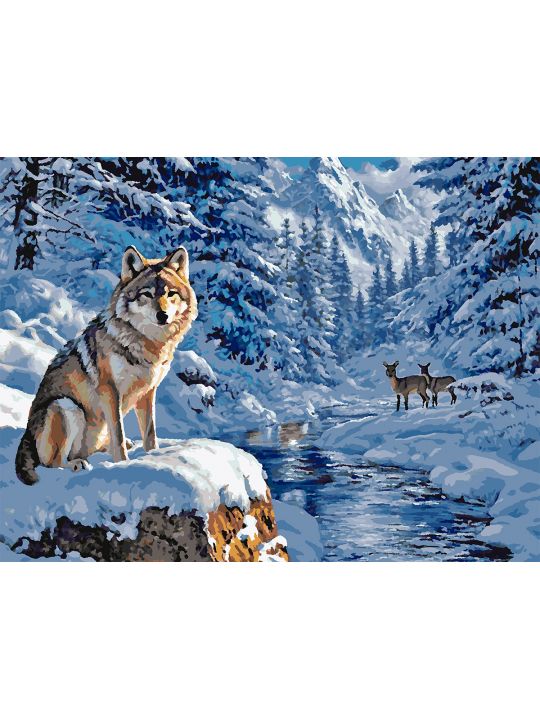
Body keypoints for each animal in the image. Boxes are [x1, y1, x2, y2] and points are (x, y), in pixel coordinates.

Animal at [15, 245, 198, 485]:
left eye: (170, 294)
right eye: (146, 294)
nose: (163, 315)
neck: (146, 344)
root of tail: (25, 436)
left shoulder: (148, 392)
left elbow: (149, 434)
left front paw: (154, 457)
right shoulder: (110, 390)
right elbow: (118, 434)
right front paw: (123, 465)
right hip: (66, 406)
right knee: (53, 463)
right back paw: (78, 465)